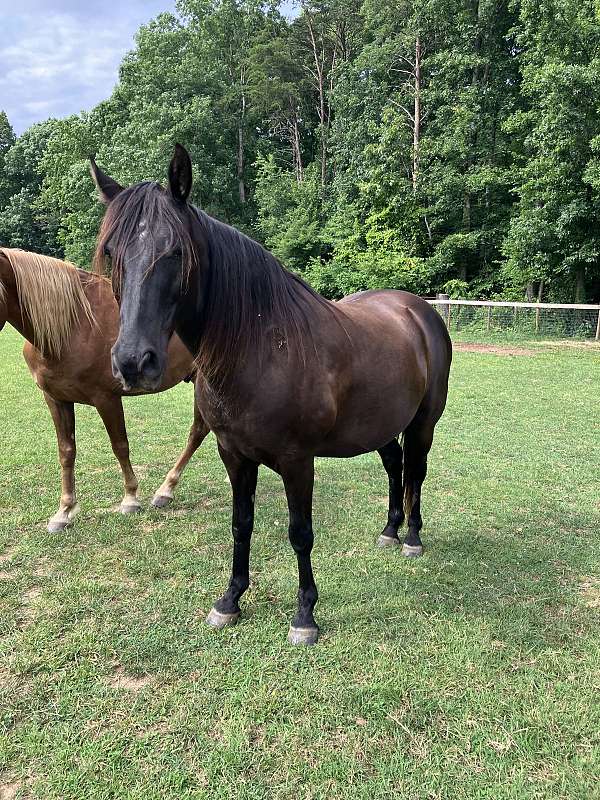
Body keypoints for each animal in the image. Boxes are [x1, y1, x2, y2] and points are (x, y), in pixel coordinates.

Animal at [0, 245, 211, 532]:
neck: (74, 323)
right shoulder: (56, 399)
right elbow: (66, 452)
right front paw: (64, 512)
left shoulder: (106, 398)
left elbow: (120, 446)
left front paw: (130, 499)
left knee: (198, 431)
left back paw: (165, 489)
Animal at [91, 145, 452, 644]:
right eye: (111, 252)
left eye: (175, 251)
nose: (132, 362)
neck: (261, 349)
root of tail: (419, 310)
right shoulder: (233, 454)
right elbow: (241, 524)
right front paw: (230, 601)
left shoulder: (297, 461)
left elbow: (300, 532)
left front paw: (305, 616)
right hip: (381, 426)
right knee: (396, 467)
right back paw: (389, 530)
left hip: (422, 423)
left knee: (416, 470)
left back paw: (412, 538)